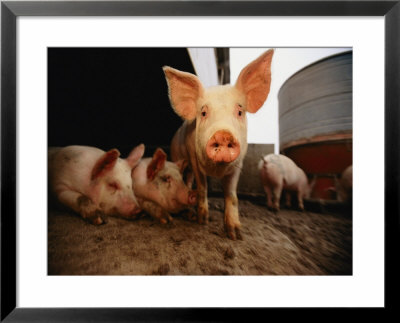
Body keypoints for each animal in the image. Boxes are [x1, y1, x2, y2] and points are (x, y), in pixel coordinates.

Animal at [163, 48, 276, 240]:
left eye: (239, 111)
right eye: (203, 112)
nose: (223, 134)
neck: (216, 170)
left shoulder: (238, 164)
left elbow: (231, 195)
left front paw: (235, 234)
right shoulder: (195, 158)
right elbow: (203, 187)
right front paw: (203, 221)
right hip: (177, 156)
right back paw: (190, 214)